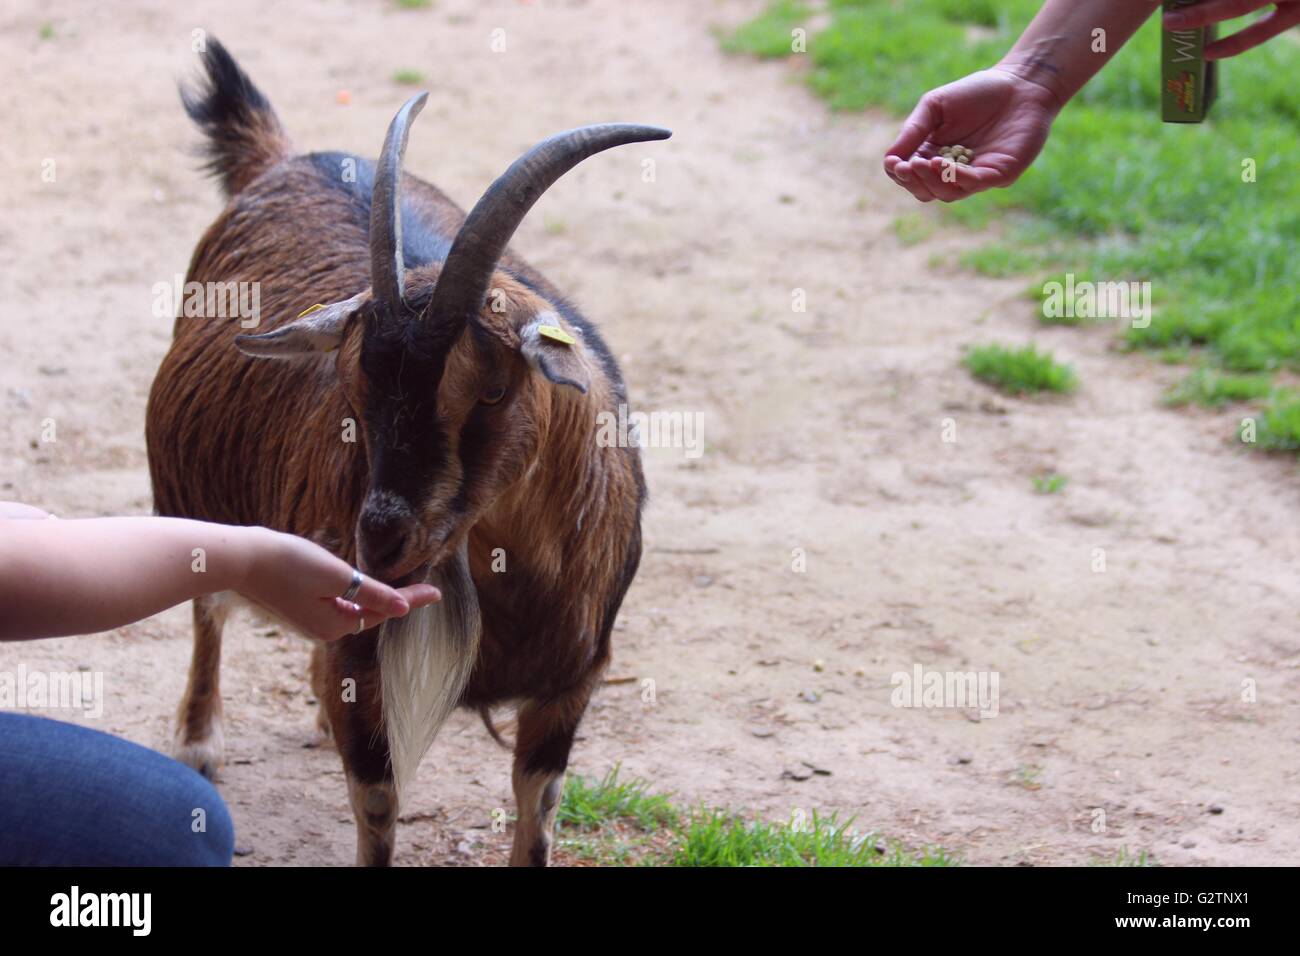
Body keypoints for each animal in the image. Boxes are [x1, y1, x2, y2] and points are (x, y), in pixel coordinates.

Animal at [147, 41, 665, 868]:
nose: (380, 540)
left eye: (492, 391)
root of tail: (285, 157)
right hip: (191, 495)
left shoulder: (575, 680)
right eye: (353, 388)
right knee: (208, 604)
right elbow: (380, 810)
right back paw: (199, 741)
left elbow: (538, 813)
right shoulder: (365, 668)